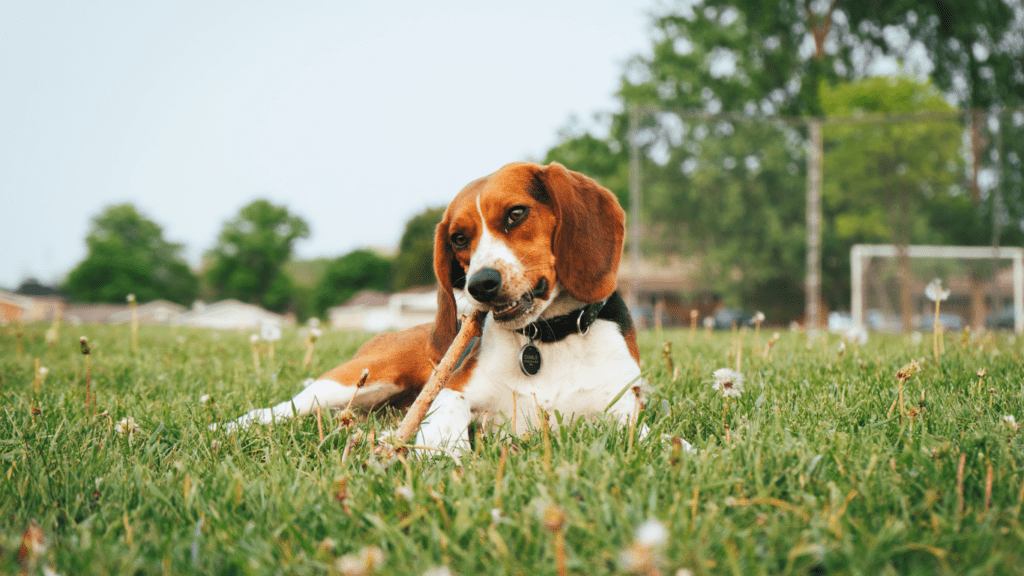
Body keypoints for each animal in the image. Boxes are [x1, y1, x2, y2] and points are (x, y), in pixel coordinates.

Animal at [226, 159, 638, 448]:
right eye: (459, 238)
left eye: (516, 213)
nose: (480, 284)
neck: (548, 338)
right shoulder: (452, 389)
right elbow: (450, 410)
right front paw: (442, 450)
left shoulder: (627, 411)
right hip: (353, 380)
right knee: (278, 409)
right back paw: (225, 427)